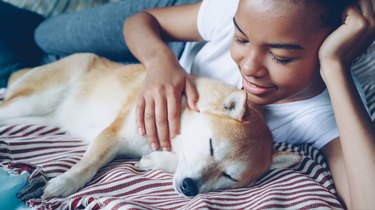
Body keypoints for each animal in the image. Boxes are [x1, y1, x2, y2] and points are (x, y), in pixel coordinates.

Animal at [0, 53, 302, 198]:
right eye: (211, 147)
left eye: (230, 177)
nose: (190, 188)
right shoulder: (112, 135)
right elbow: (89, 164)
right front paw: (65, 182)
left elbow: (172, 162)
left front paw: (154, 160)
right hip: (32, 101)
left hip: (37, 117)